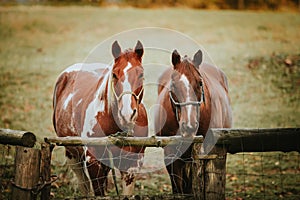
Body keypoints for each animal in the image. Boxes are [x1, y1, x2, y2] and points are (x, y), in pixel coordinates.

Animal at [53, 40, 149, 195]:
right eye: (114, 75)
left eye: (141, 74)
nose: (127, 114)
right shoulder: (93, 162)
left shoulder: (132, 164)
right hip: (73, 155)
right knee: (84, 184)